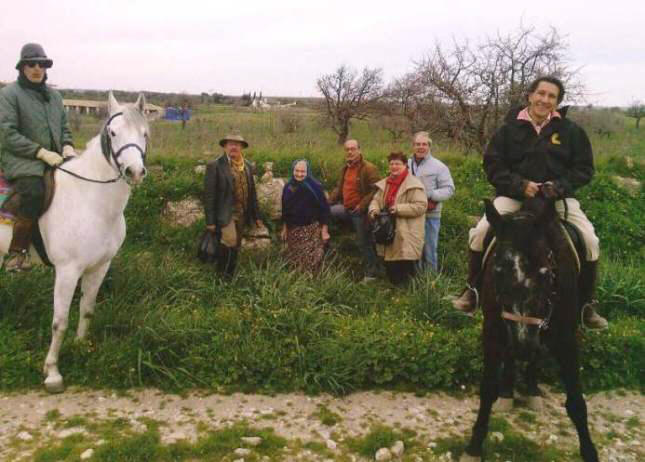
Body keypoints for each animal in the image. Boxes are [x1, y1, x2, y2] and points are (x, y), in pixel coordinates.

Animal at [0, 91, 147, 394]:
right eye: (113, 133)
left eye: (144, 133)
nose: (135, 172)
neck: (90, 199)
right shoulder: (67, 271)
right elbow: (59, 322)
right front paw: (52, 372)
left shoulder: (100, 267)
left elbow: (87, 310)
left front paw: (82, 348)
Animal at [460, 193, 596, 462]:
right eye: (497, 271)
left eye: (545, 273)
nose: (522, 346)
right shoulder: (493, 330)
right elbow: (487, 389)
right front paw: (474, 447)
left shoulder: (566, 338)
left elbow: (576, 402)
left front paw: (589, 452)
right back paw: (508, 392)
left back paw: (532, 389)